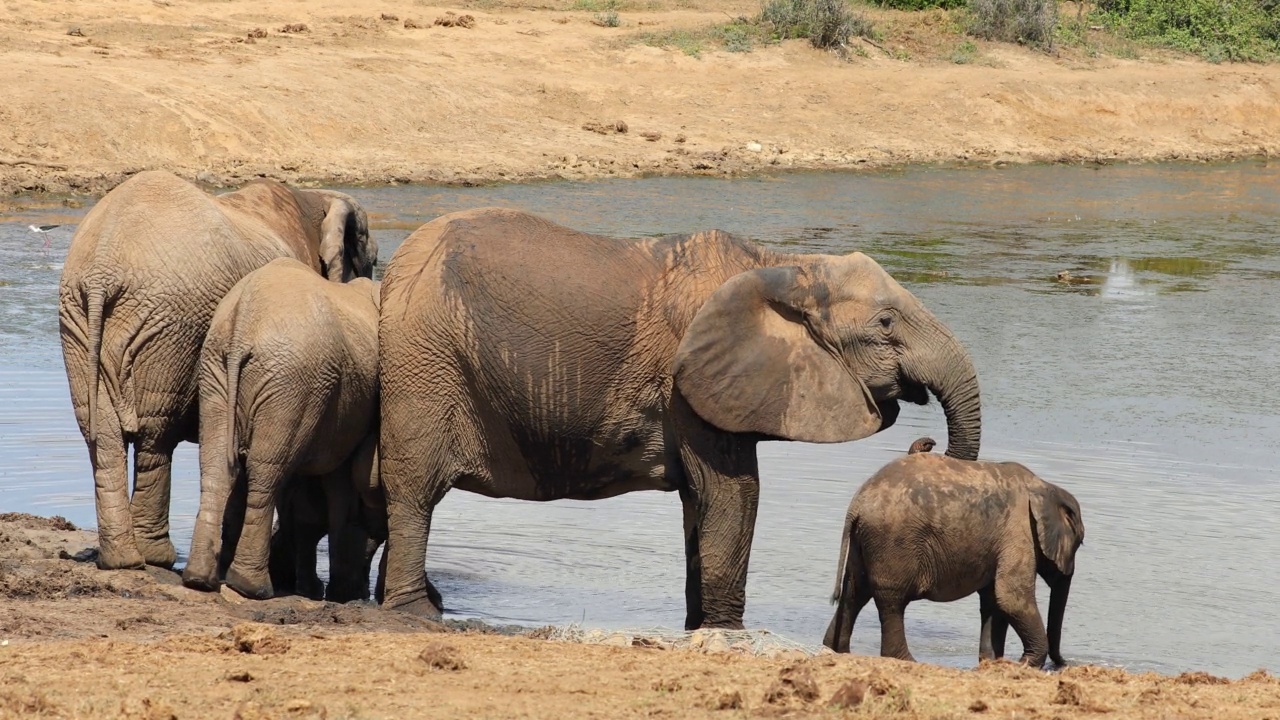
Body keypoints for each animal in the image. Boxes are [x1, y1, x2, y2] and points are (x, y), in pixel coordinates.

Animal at [57, 170, 373, 568]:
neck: (315, 199)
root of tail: (101, 271)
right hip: (171, 325)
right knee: (155, 433)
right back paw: (155, 556)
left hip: (79, 323)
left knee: (101, 433)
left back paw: (122, 560)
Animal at [183, 257, 384, 599]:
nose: (363, 592)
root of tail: (243, 320)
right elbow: (340, 488)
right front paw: (342, 593)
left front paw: (317, 589)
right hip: (292, 379)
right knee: (267, 471)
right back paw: (253, 588)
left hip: (220, 371)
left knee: (217, 466)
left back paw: (199, 580)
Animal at [373, 204, 983, 625]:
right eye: (886, 324)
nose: (927, 445)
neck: (784, 266)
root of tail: (397, 265)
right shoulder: (690, 387)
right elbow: (734, 495)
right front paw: (727, 631)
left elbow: (704, 505)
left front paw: (699, 626)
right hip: (425, 362)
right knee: (414, 494)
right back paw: (416, 614)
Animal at [824, 438, 1085, 666]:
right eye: (1080, 542)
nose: (1064, 663)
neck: (1045, 486)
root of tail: (856, 505)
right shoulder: (1019, 532)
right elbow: (1011, 596)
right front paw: (1025, 663)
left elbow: (993, 600)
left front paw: (992, 662)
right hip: (892, 539)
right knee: (891, 600)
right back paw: (907, 660)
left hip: (864, 541)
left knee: (855, 591)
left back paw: (837, 649)